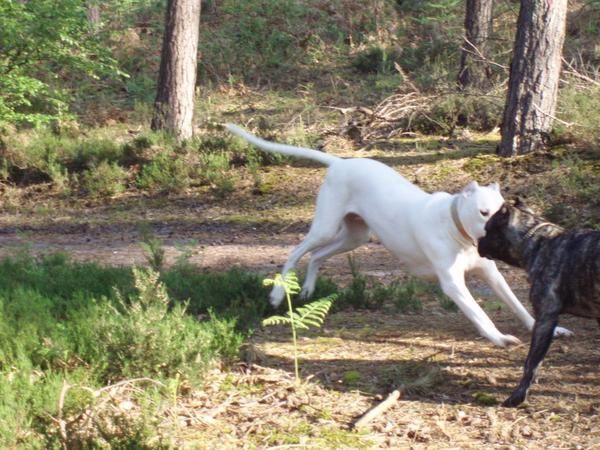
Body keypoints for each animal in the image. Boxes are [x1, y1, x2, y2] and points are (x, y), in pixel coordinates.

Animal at [226, 125, 572, 346]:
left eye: (505, 210)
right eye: (484, 213)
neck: (455, 228)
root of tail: (340, 163)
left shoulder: (491, 274)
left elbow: (517, 304)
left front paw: (548, 330)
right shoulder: (454, 285)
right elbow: (479, 313)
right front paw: (498, 338)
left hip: (354, 237)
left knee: (315, 257)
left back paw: (308, 289)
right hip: (325, 228)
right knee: (295, 253)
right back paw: (276, 295)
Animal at [478, 199, 600, 406]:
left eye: (487, 229)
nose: (478, 239)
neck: (538, 241)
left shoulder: (544, 319)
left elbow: (531, 363)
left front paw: (518, 395)